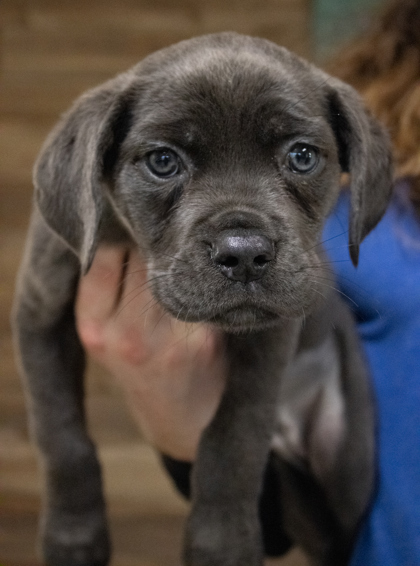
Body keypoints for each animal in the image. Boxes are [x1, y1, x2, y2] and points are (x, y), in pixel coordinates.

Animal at [13, 32, 394, 566]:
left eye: (301, 156)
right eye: (163, 161)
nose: (245, 253)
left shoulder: (268, 339)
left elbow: (233, 439)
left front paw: (223, 543)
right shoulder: (39, 310)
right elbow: (60, 433)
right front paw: (73, 536)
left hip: (348, 471)